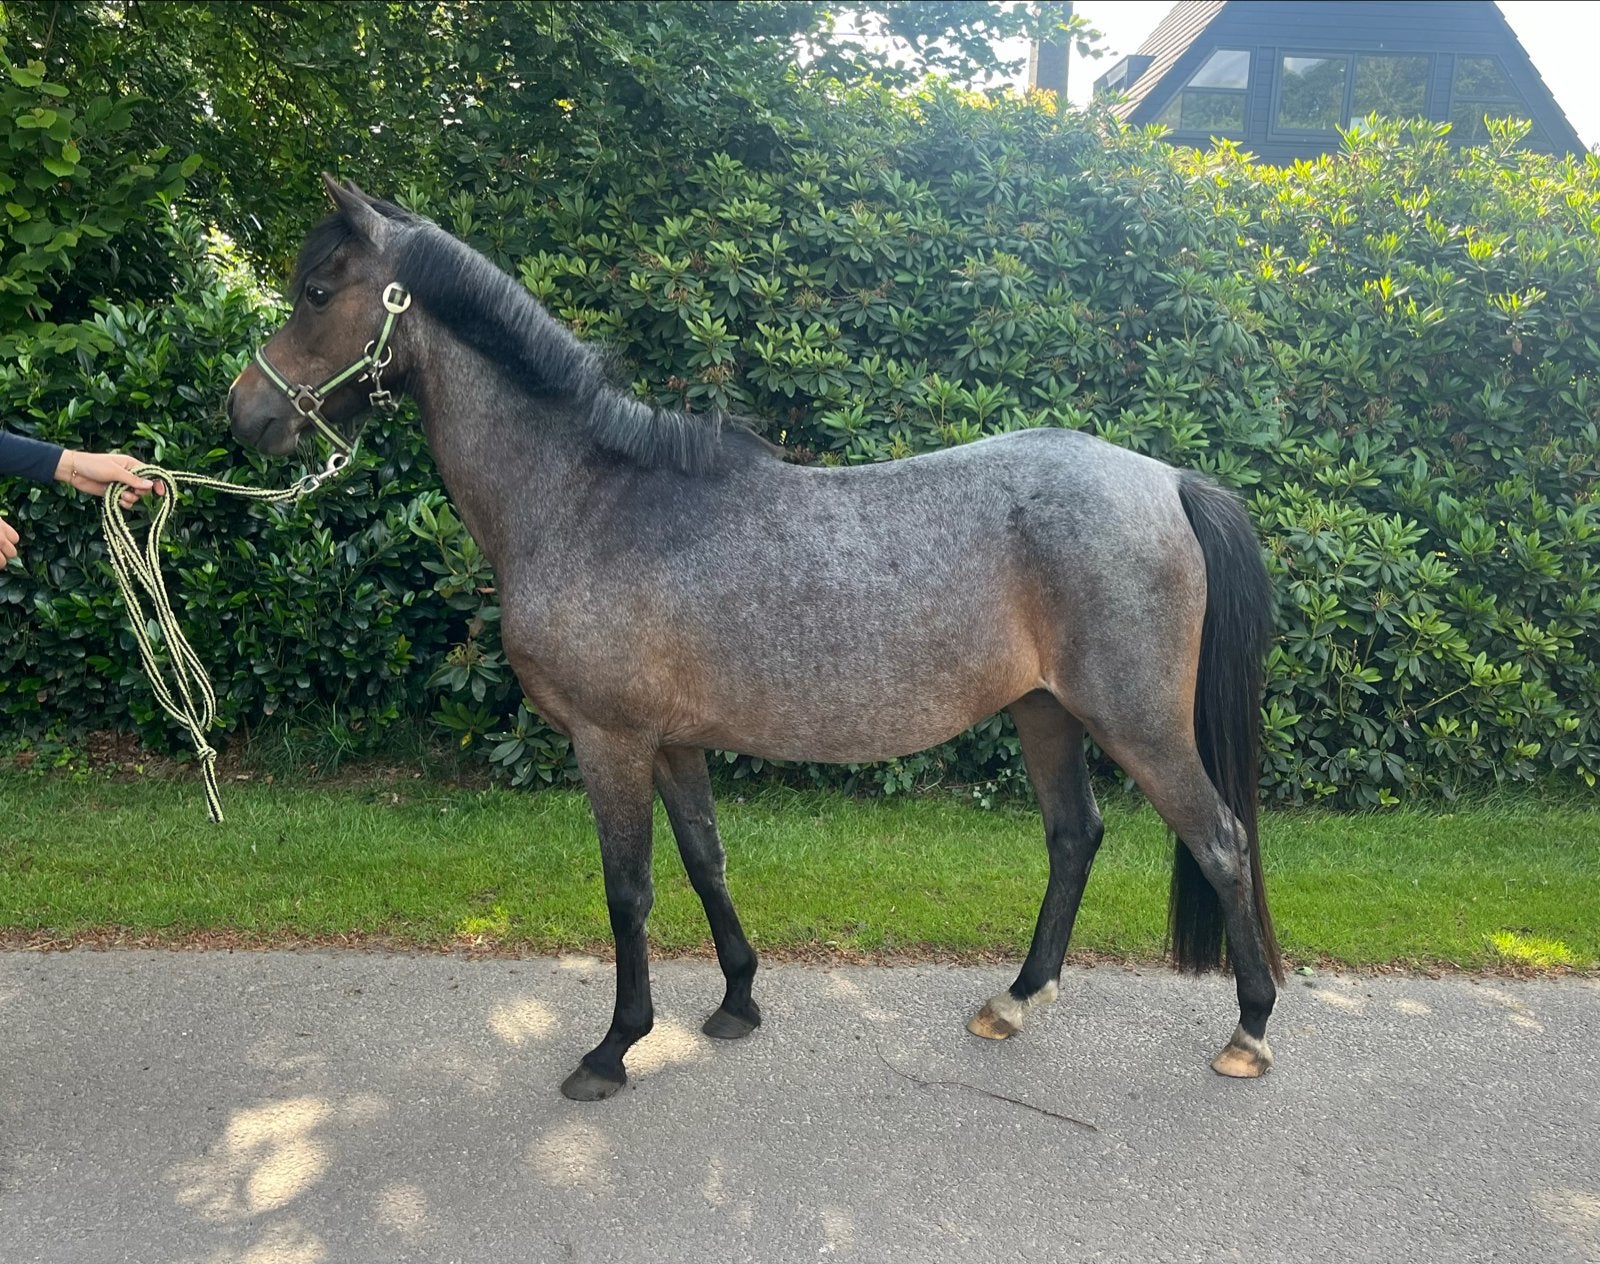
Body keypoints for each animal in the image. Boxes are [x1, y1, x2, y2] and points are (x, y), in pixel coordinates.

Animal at [227, 176, 1283, 1102]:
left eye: (318, 290)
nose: (245, 411)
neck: (585, 497)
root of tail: (1169, 480)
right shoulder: (674, 743)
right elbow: (706, 861)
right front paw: (737, 999)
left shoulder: (609, 741)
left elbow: (629, 892)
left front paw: (613, 1049)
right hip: (1044, 712)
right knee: (1074, 838)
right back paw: (1014, 1002)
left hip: (1136, 723)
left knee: (1221, 840)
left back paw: (1249, 1030)